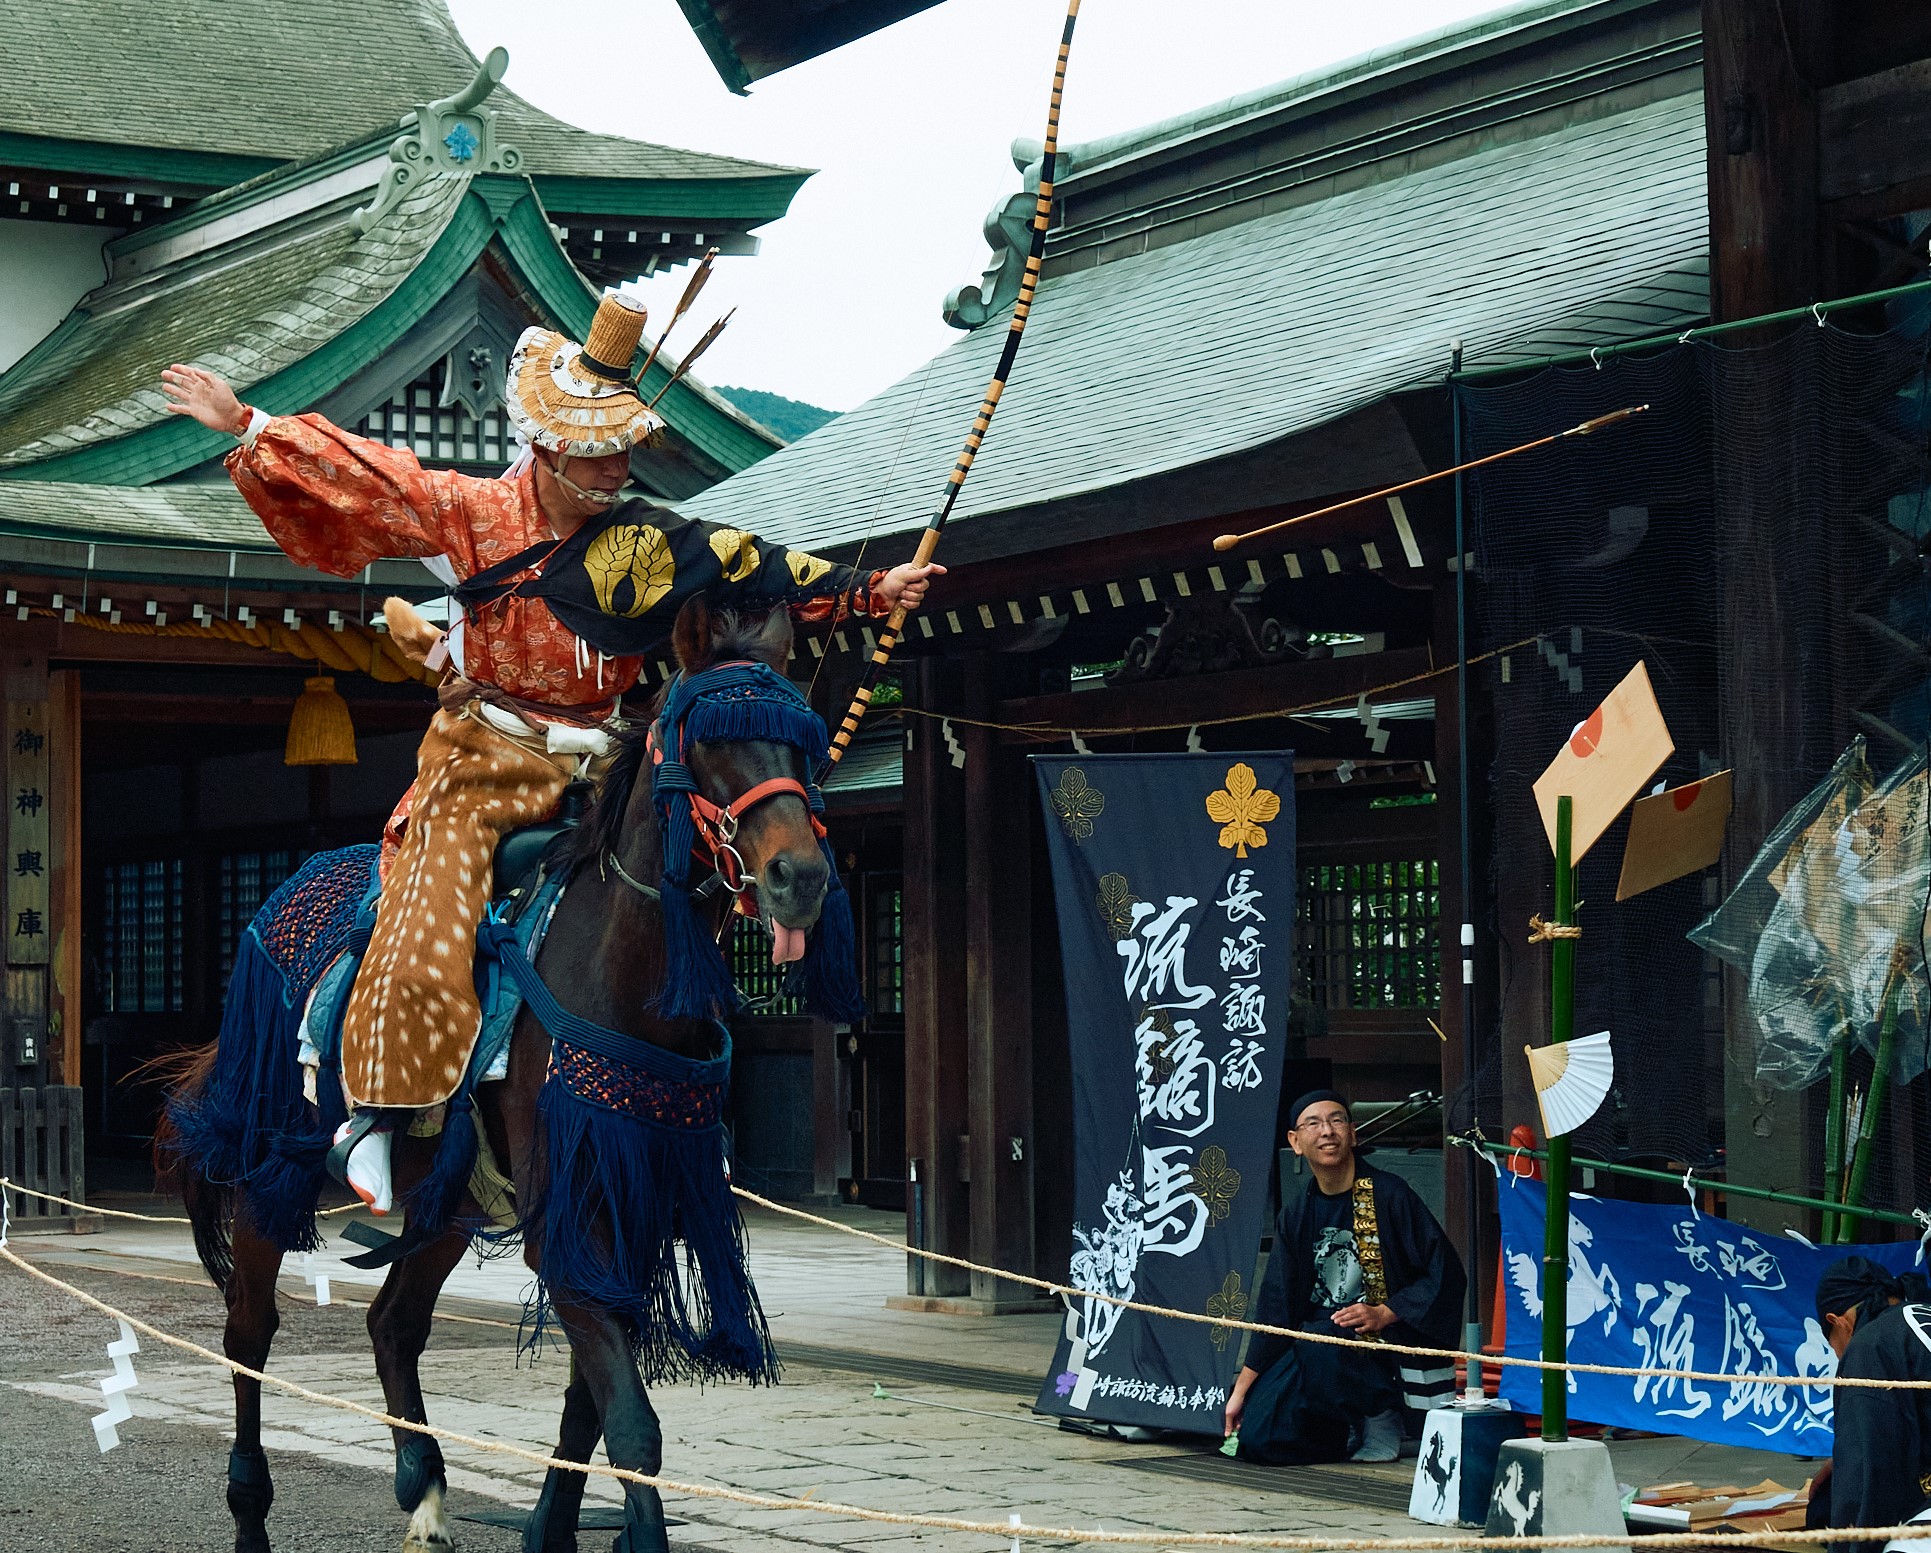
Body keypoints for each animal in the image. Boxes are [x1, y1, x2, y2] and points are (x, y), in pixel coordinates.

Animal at [156, 602, 830, 1553]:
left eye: (802, 740)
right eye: (707, 741)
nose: (799, 876)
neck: (628, 978)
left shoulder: (632, 1199)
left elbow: (590, 1407)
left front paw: (550, 1527)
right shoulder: (566, 1215)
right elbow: (630, 1422)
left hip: (448, 1195)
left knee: (393, 1321)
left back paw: (425, 1485)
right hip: (271, 1160)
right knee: (249, 1329)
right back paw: (252, 1507)